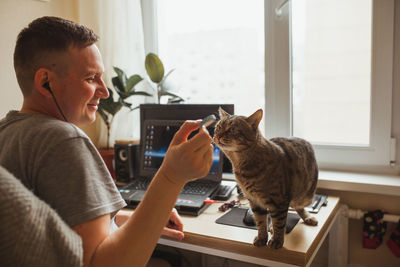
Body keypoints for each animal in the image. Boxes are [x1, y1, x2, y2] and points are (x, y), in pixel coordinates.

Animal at [214, 108, 318, 250]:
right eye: (218, 127)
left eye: (232, 129)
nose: (218, 136)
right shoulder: (254, 201)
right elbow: (260, 222)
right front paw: (262, 238)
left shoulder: (279, 201)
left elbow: (279, 222)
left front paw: (277, 241)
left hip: (305, 197)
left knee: (298, 207)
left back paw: (307, 217)